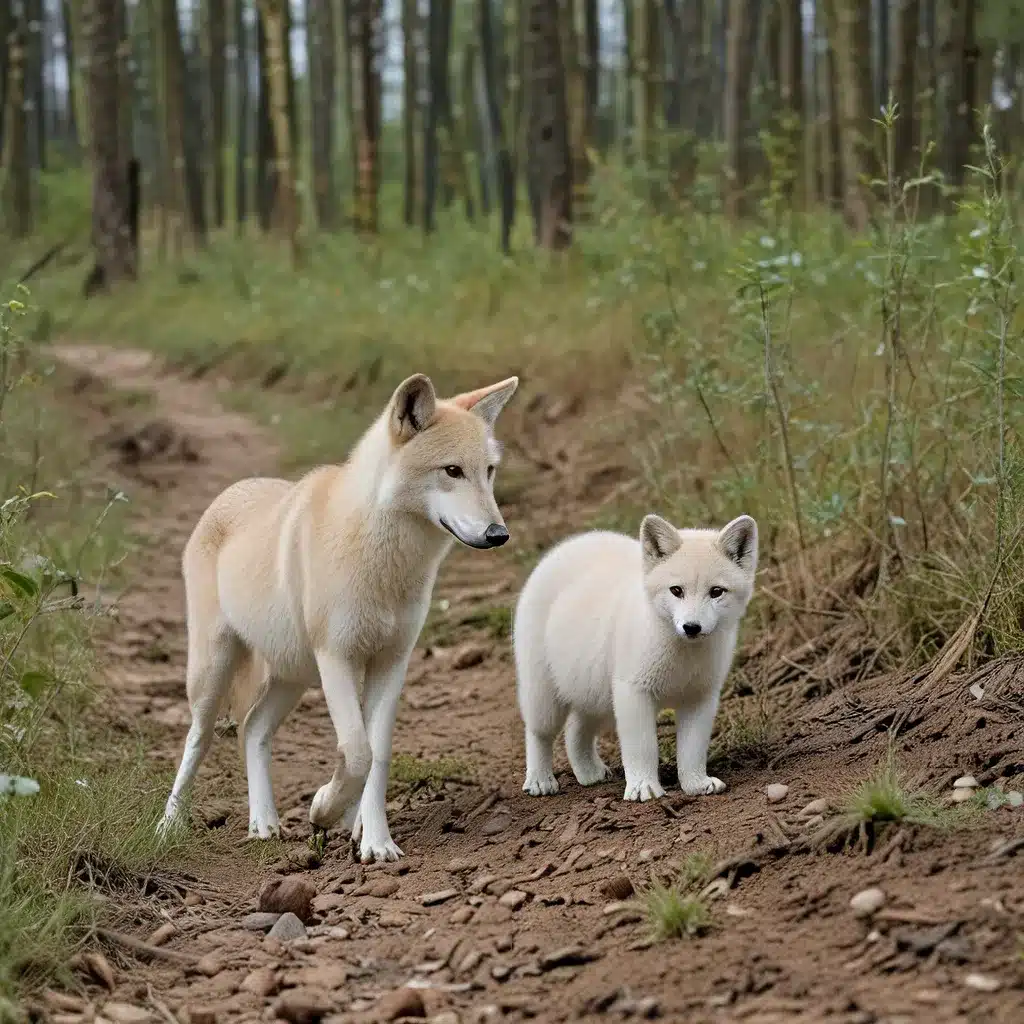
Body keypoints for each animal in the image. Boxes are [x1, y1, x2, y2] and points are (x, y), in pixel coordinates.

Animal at [159, 372, 520, 860]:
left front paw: (374, 840)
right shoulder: (338, 659)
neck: (386, 559)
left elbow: (376, 754)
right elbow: (356, 751)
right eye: (452, 471)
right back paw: (169, 826)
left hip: (293, 676)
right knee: (198, 738)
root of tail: (233, 490)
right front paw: (323, 808)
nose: (498, 534)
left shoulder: (391, 663)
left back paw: (265, 824)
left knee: (252, 729)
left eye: (488, 471)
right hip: (215, 672)